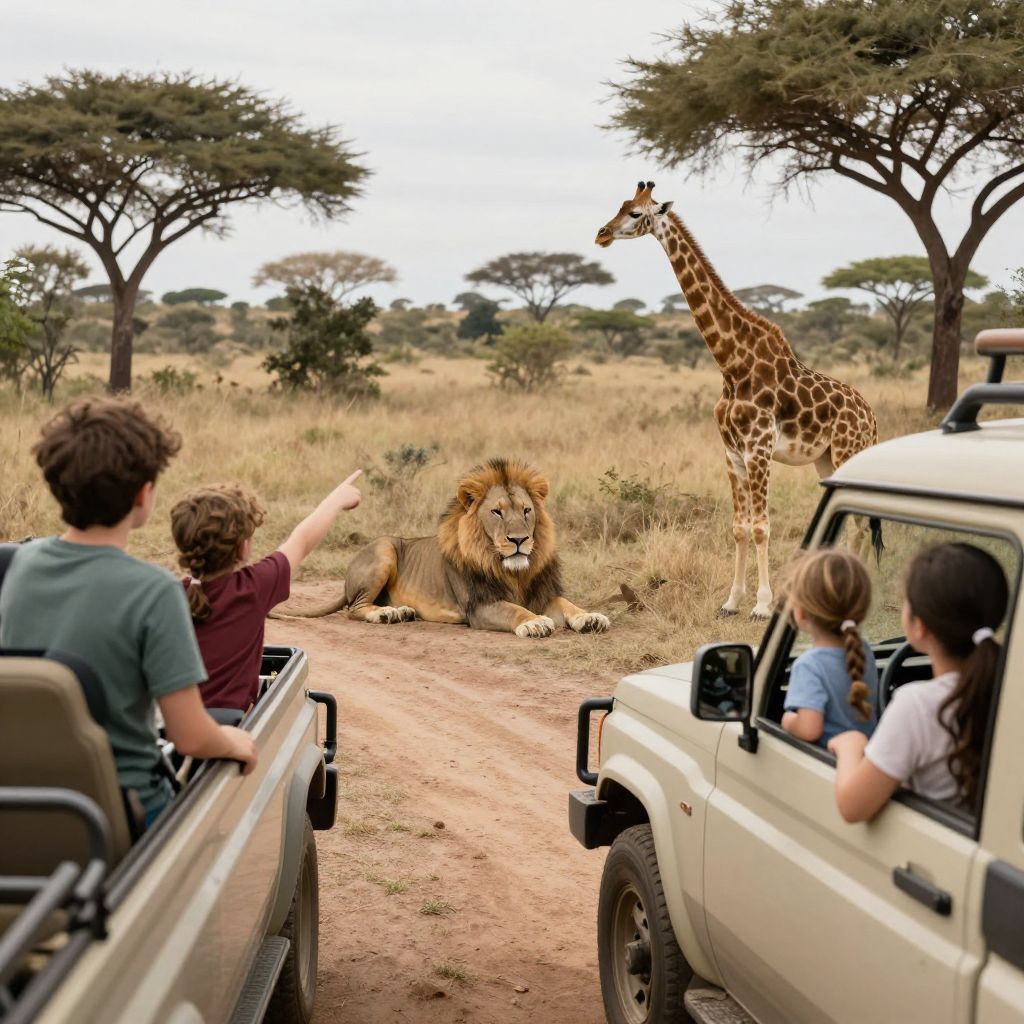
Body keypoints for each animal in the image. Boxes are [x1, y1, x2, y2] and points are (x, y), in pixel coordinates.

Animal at [284, 458, 609, 638]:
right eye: (497, 512)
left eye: (527, 510)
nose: (519, 540)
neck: (513, 572)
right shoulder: (480, 606)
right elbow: (514, 610)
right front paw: (535, 623)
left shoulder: (542, 594)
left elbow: (567, 604)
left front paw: (590, 617)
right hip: (384, 549)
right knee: (355, 608)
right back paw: (385, 614)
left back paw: (400, 611)